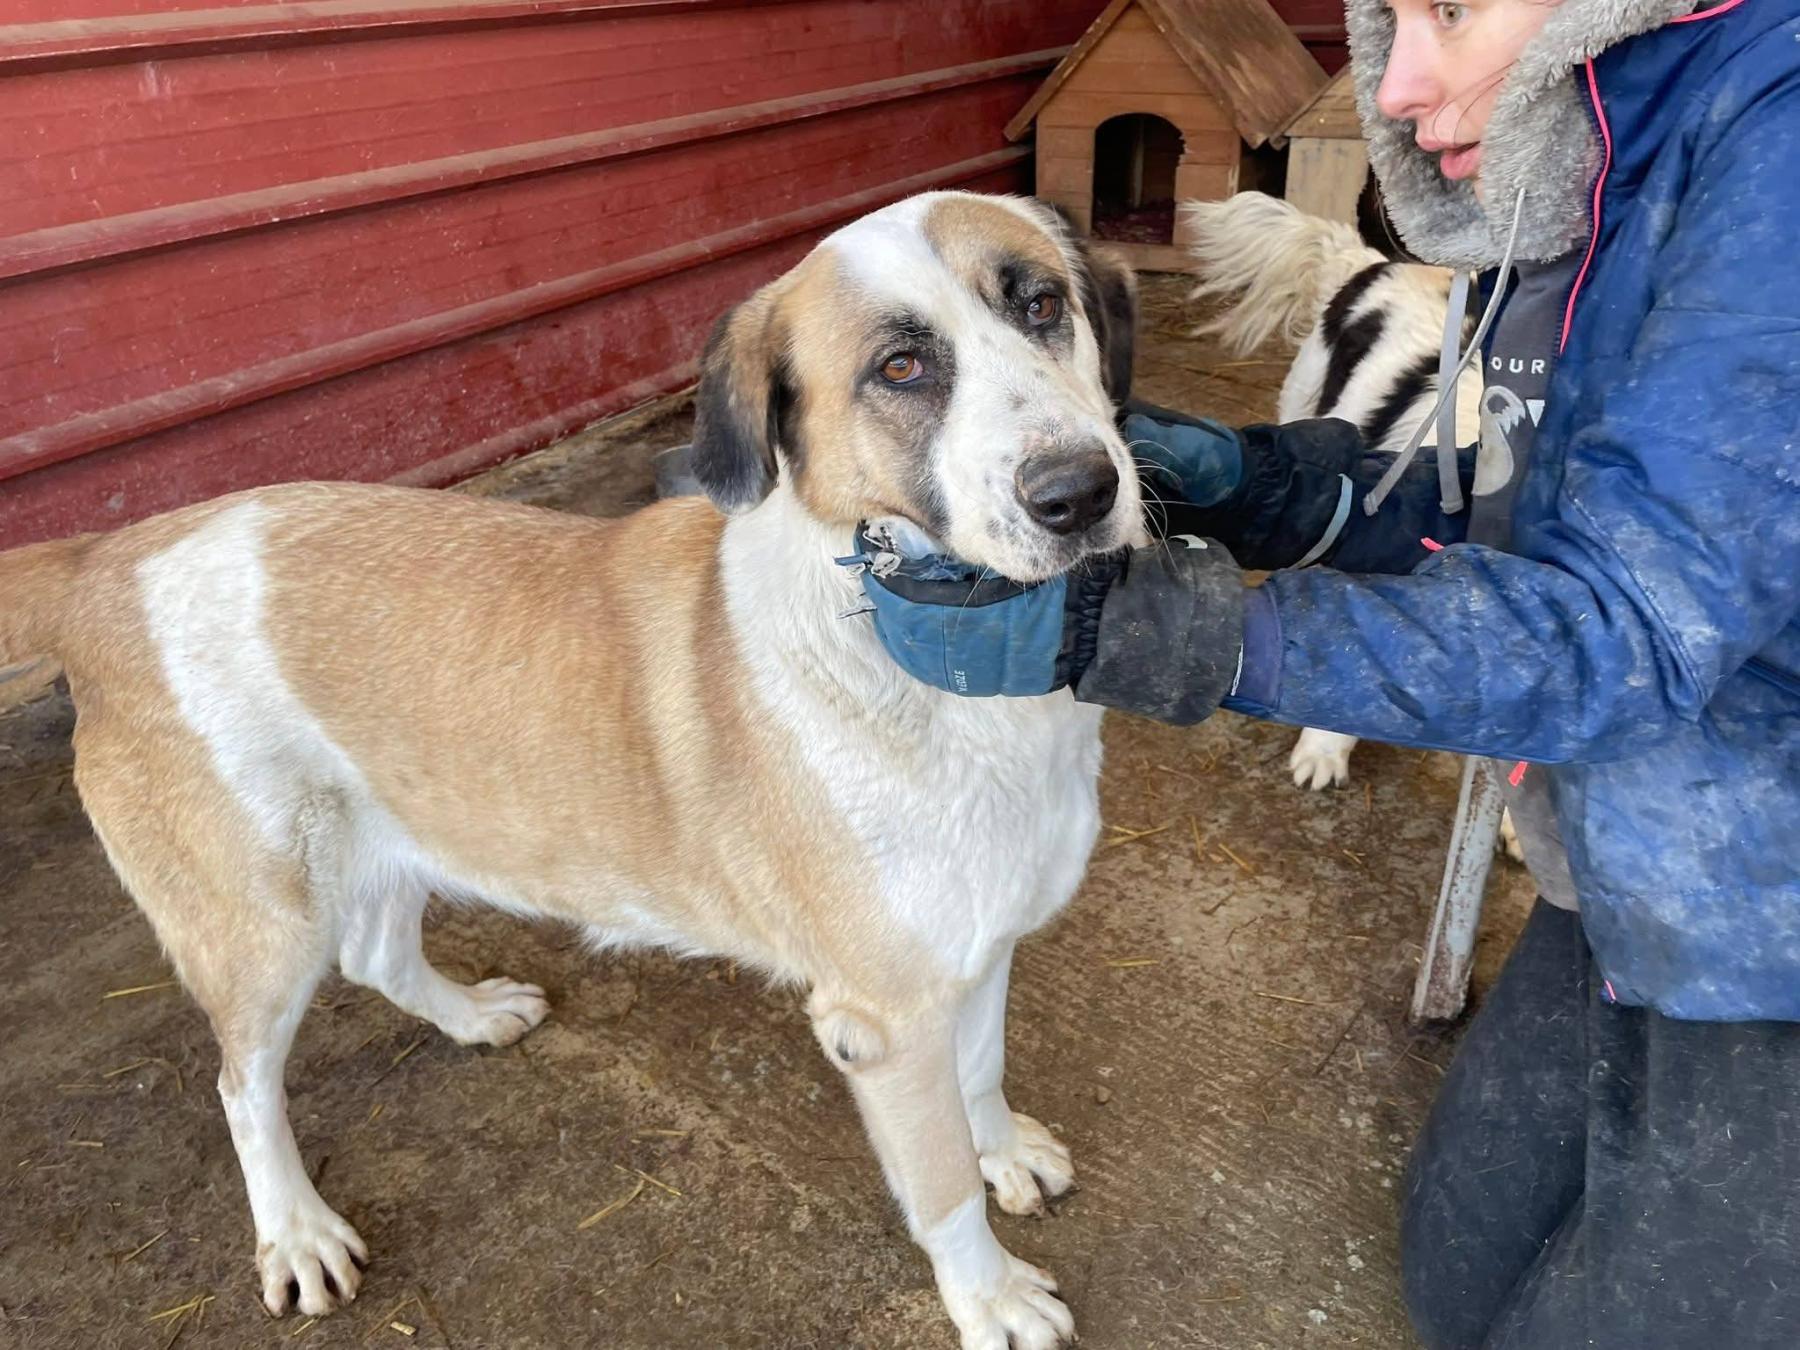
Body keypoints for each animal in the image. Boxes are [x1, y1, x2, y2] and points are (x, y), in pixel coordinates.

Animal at [0, 192, 1147, 1350]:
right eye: (900, 368)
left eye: (1041, 304)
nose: (1080, 491)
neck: (939, 649)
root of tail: (102, 561)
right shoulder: (884, 1021)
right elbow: (942, 1185)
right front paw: (990, 1295)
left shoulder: (980, 944)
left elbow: (982, 1070)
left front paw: (1002, 1149)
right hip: (263, 927)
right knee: (241, 1084)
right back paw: (295, 1231)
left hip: (399, 830)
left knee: (374, 954)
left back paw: (470, 1017)